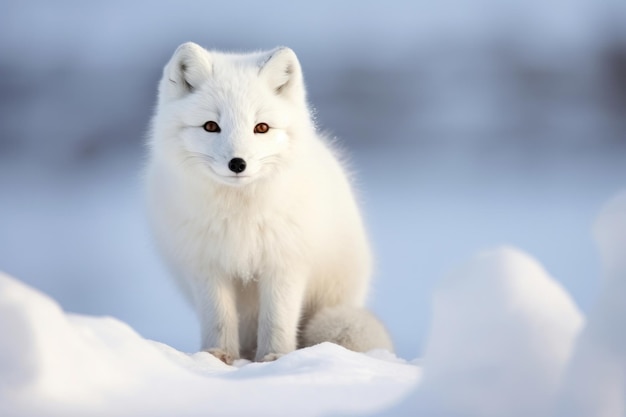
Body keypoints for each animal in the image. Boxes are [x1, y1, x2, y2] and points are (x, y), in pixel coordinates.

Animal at [145, 40, 390, 362]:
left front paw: (275, 358)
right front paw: (218, 356)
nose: (238, 163)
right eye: (210, 126)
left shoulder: (285, 262)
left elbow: (277, 319)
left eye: (261, 127)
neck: (240, 214)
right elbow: (219, 318)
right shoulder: (206, 266)